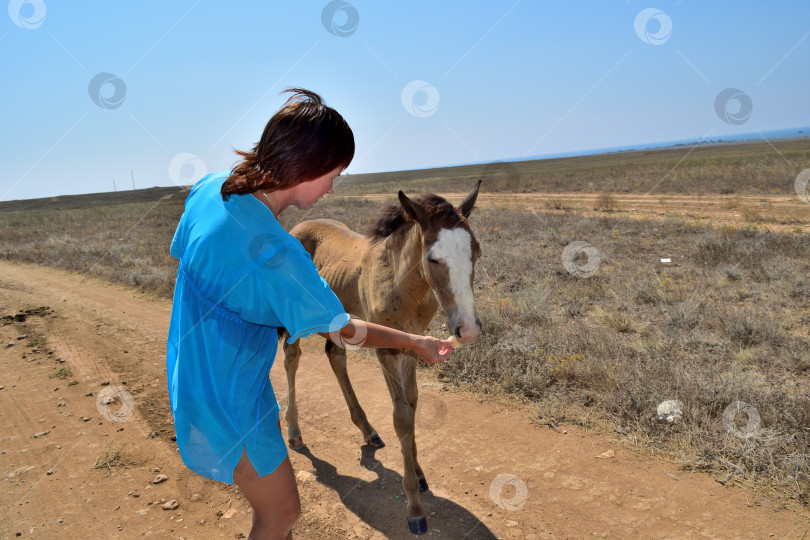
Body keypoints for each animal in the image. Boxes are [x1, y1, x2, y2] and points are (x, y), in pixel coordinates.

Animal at [278, 182, 480, 536]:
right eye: (433, 258)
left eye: (477, 251)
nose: (467, 329)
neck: (402, 286)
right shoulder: (385, 350)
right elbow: (401, 416)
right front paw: (414, 506)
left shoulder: (412, 346)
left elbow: (411, 404)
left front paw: (419, 473)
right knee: (292, 359)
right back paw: (294, 432)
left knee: (335, 357)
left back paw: (367, 430)